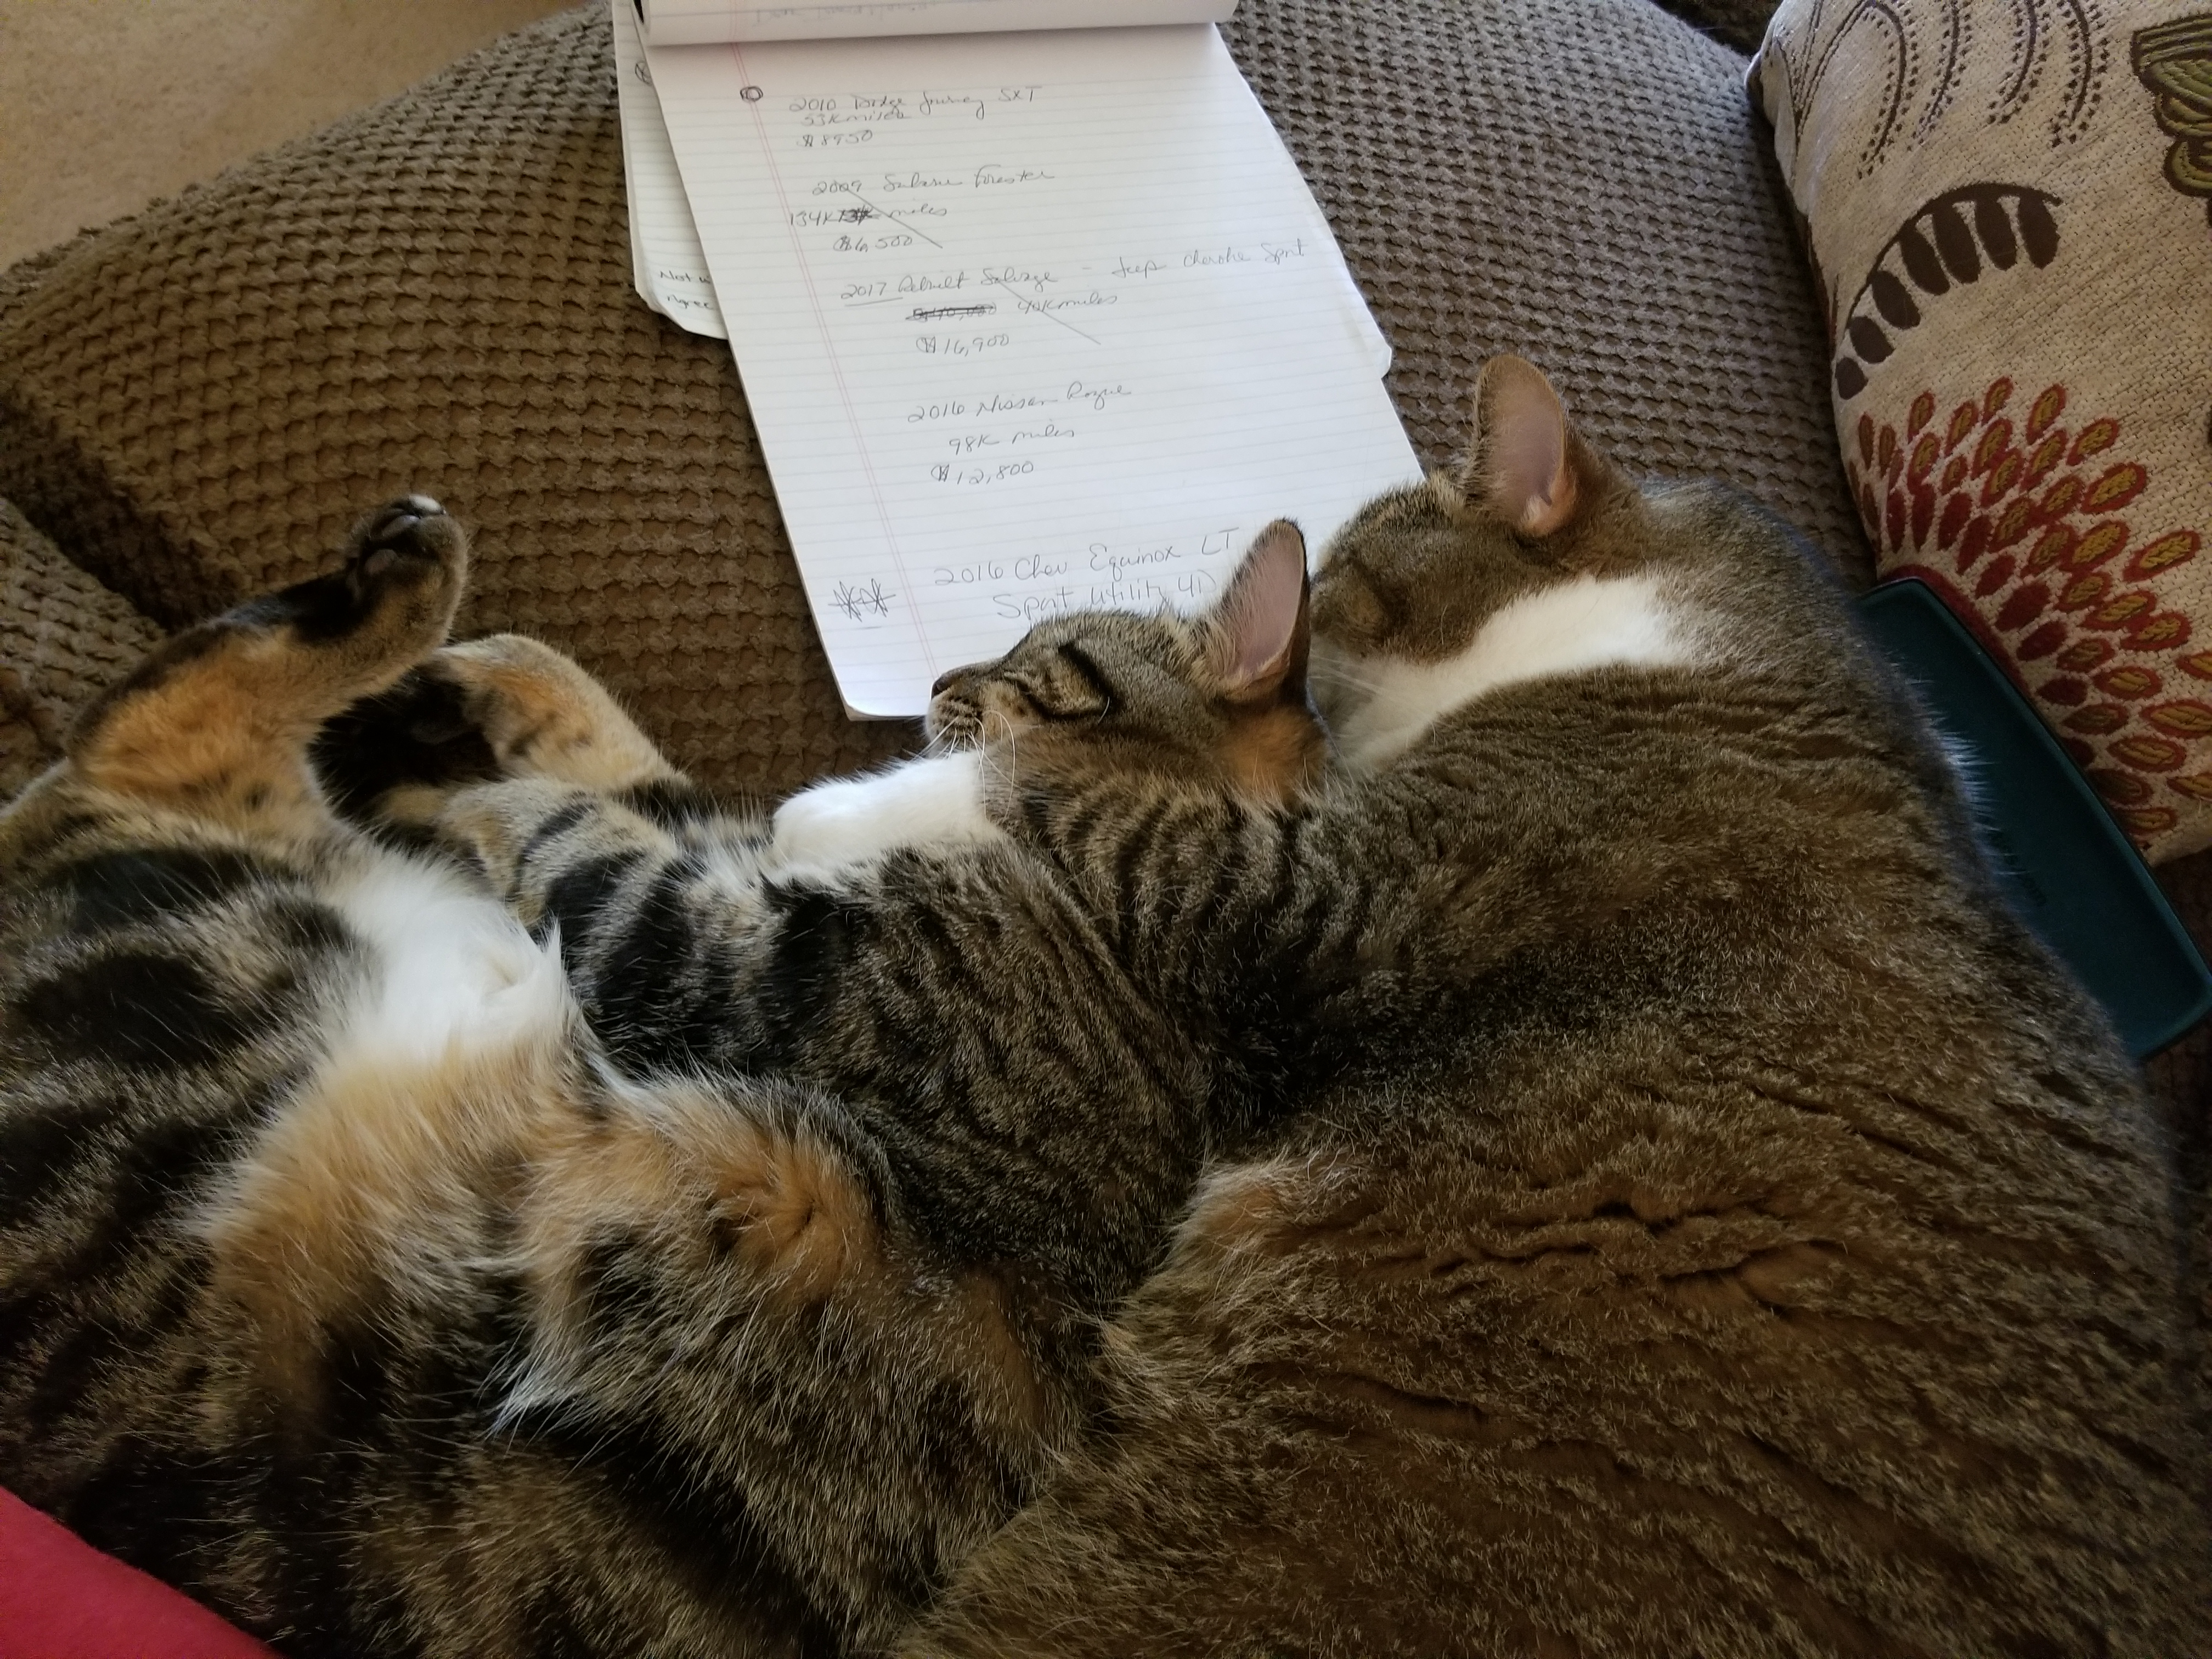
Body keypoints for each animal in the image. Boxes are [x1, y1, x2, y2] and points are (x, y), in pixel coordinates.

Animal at [0, 494, 1323, 1656]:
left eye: (1032, 652)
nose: (939, 678)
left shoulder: (728, 968)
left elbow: (574, 821)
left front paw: (479, 775)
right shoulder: (731, 877)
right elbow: (641, 775)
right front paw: (498, 691)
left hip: (202, 991)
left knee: (126, 749)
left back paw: (406, 580)